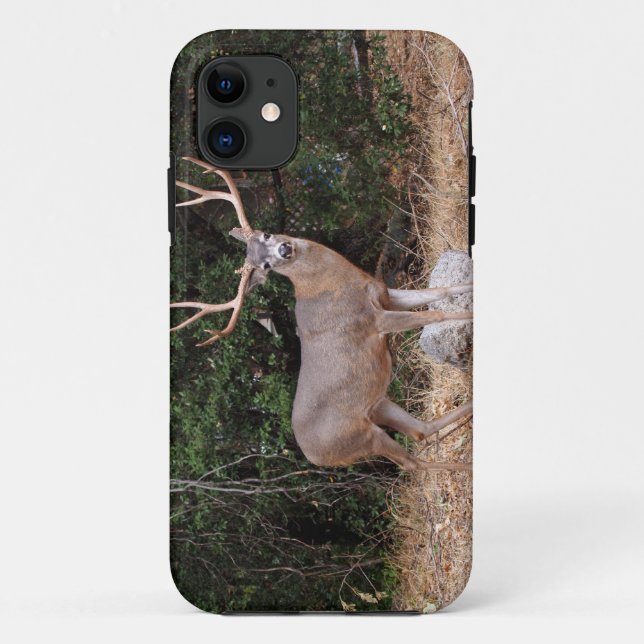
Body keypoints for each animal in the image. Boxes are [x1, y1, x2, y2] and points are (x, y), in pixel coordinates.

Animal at [171, 157, 473, 472]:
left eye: (267, 233)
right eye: (265, 266)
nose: (284, 248)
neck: (334, 284)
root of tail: (315, 458)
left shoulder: (385, 294)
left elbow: (440, 291)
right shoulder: (371, 321)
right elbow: (435, 316)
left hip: (377, 404)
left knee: (420, 430)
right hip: (362, 436)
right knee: (412, 462)